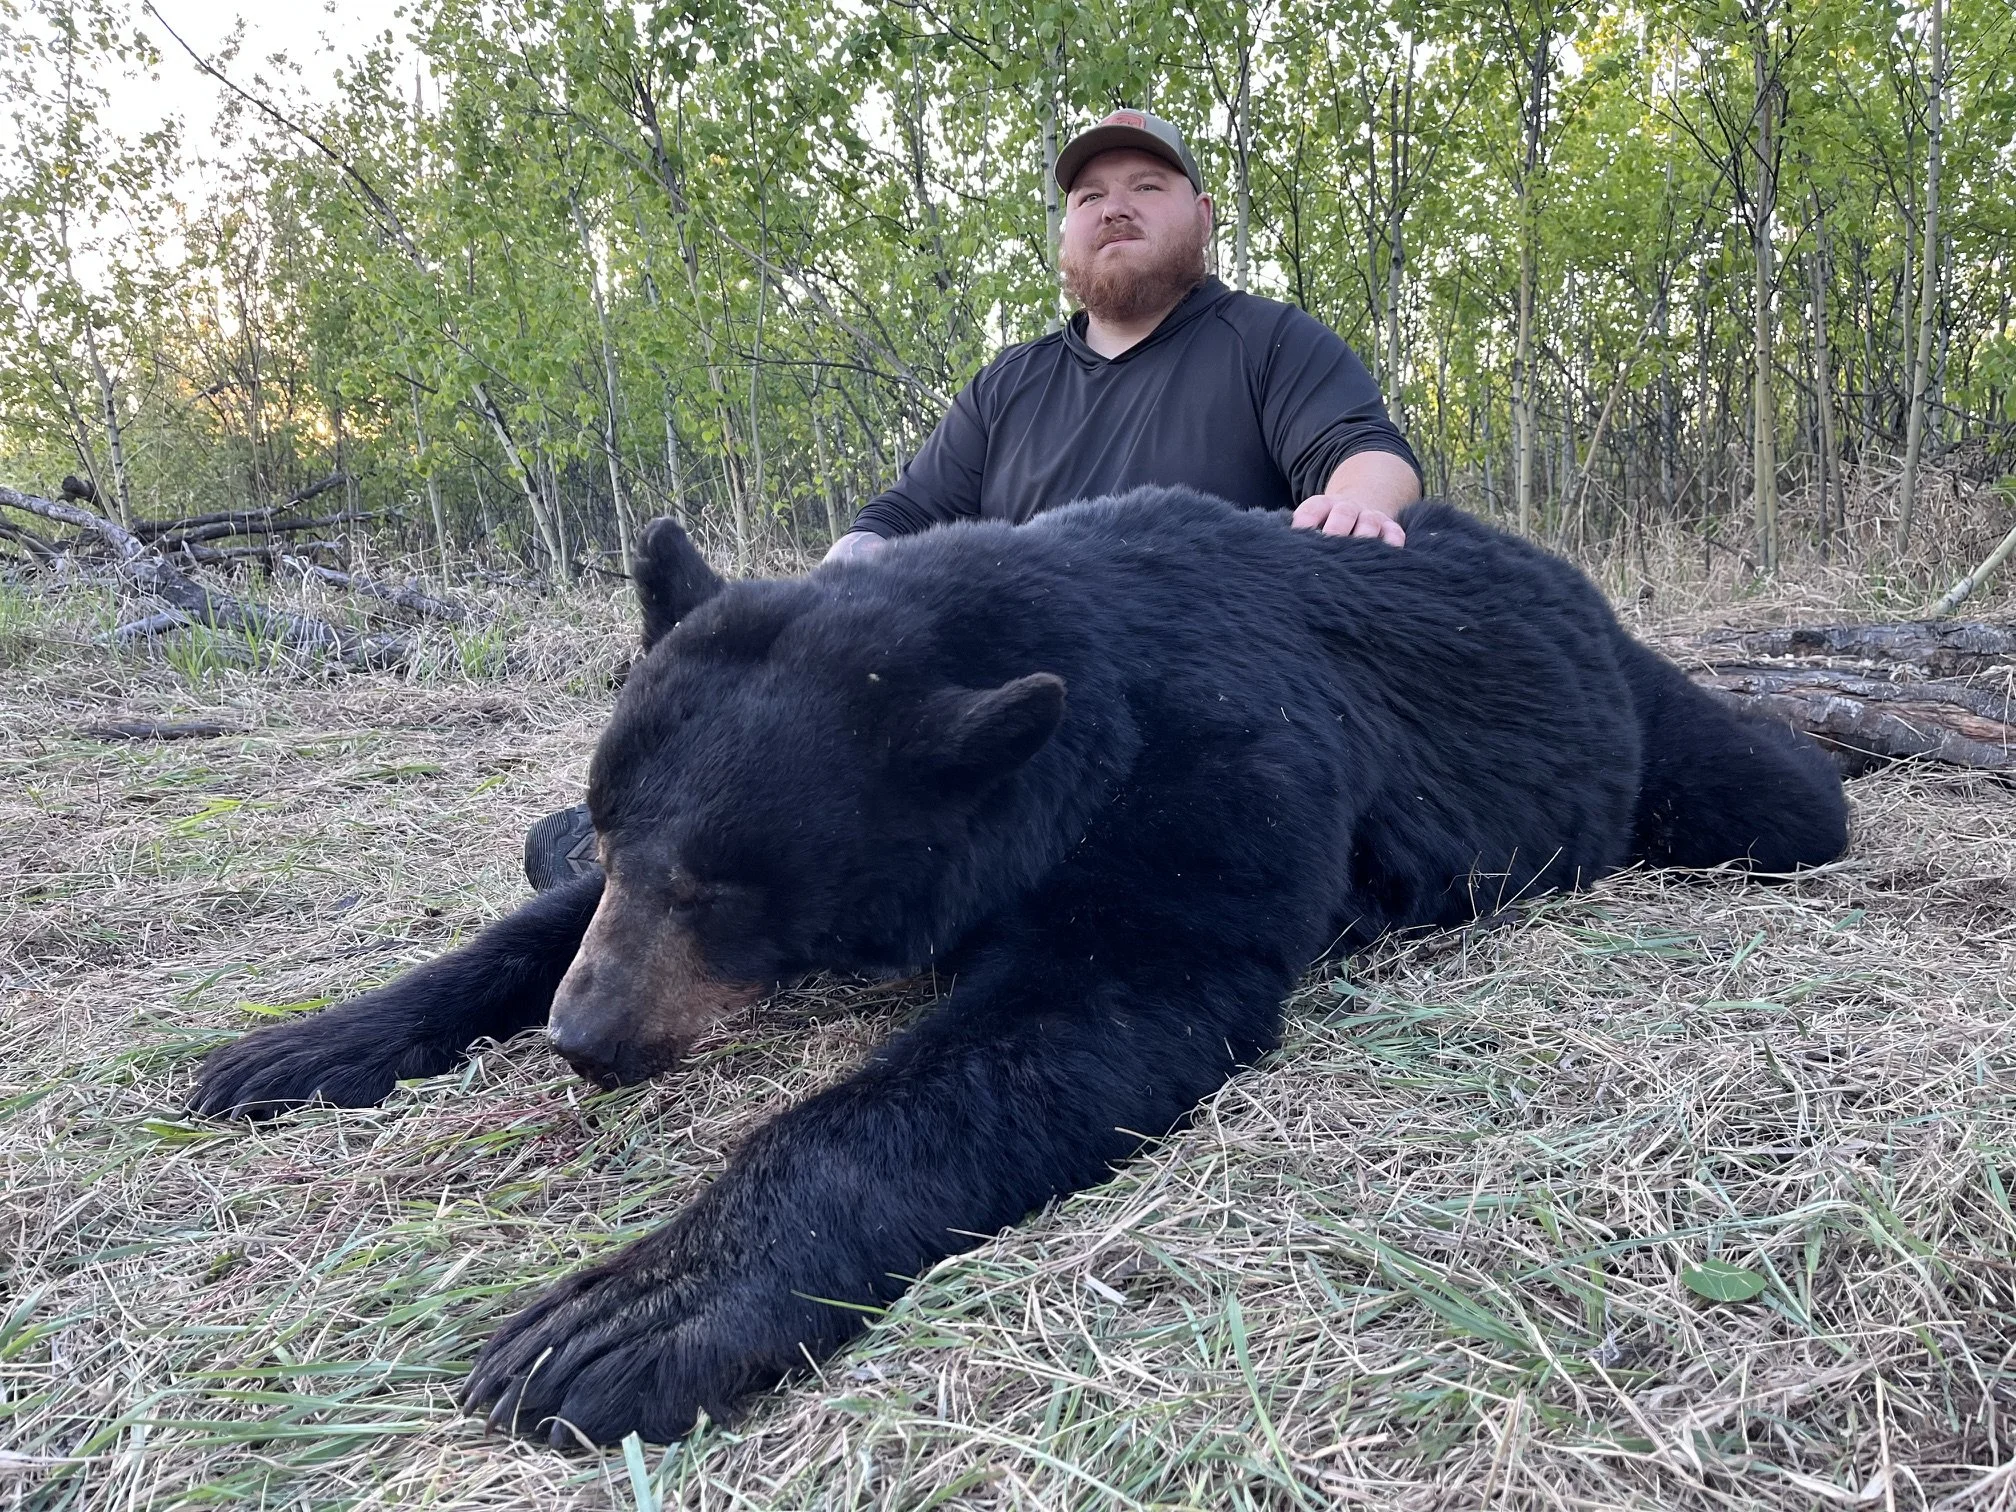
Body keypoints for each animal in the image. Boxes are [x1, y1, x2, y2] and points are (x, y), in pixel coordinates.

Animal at [188, 488, 1849, 1446]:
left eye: (727, 887)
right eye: (613, 823)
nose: (586, 1043)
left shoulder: (1208, 776)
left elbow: (1056, 1028)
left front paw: (634, 1311)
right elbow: (525, 927)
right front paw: (297, 1044)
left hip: (1666, 750)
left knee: (1784, 794)